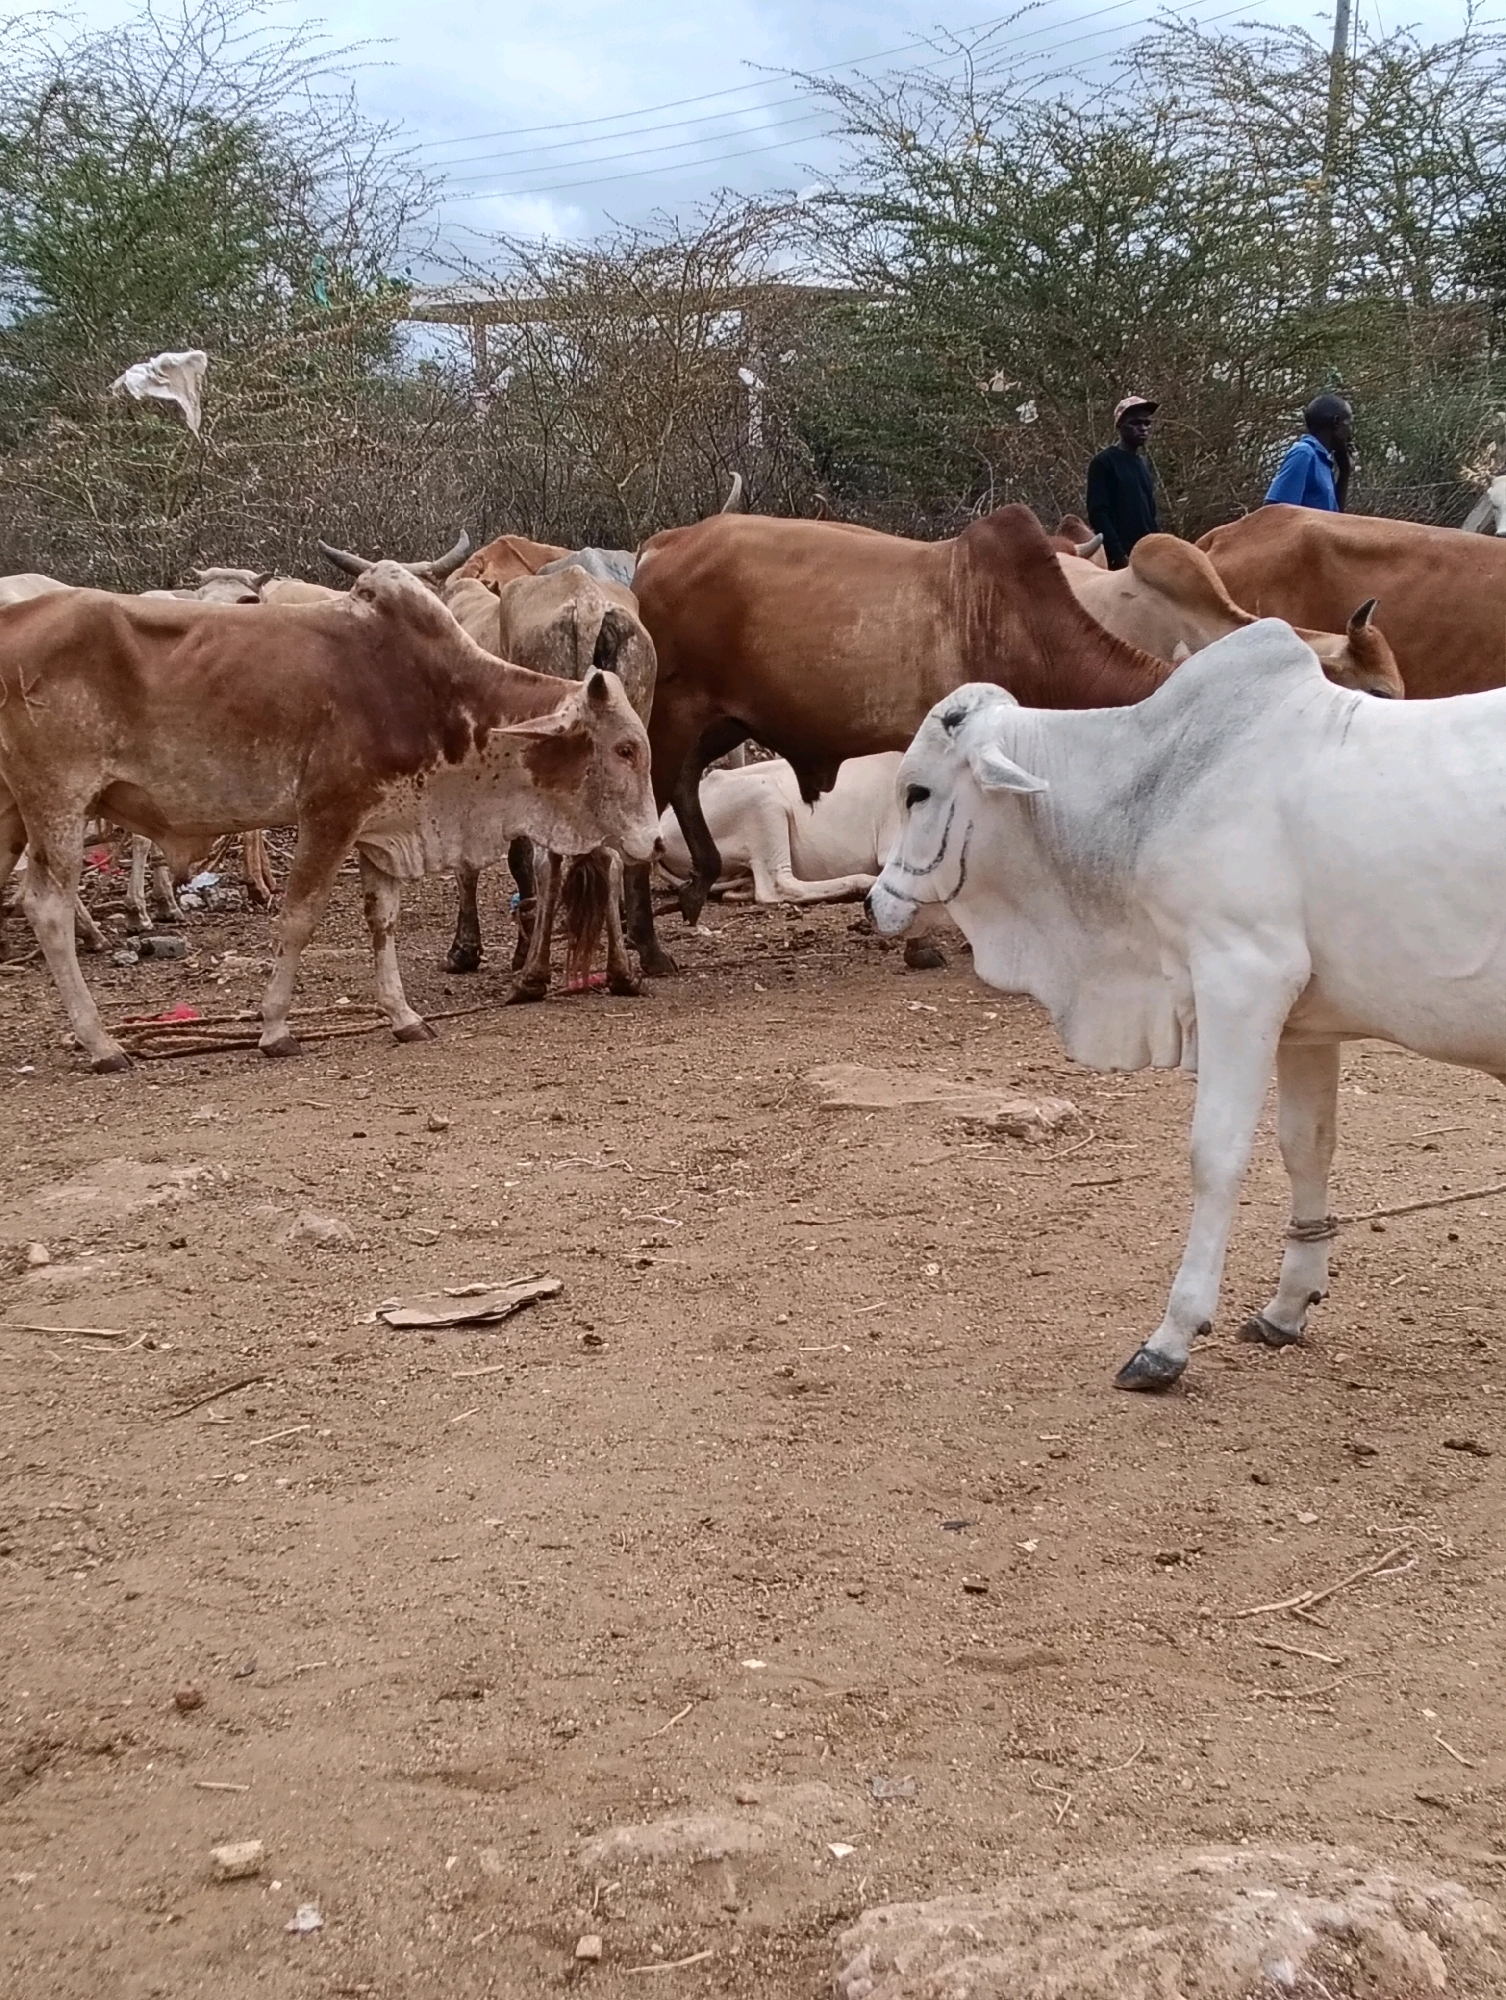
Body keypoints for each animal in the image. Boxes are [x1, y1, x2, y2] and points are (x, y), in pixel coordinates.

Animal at [0, 565, 657, 1071]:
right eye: (625, 749)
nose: (652, 838)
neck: (435, 691)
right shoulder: (329, 815)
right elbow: (298, 920)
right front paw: (274, 1029)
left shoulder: (383, 826)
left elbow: (382, 922)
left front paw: (403, 1015)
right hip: (58, 803)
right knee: (48, 906)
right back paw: (102, 1043)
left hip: (14, 811)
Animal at [867, 619, 1506, 1394]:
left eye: (917, 792)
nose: (874, 902)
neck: (1154, 786)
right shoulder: (1305, 1027)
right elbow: (1307, 1148)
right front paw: (1286, 1309)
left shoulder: (1243, 977)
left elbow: (1216, 1156)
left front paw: (1170, 1339)